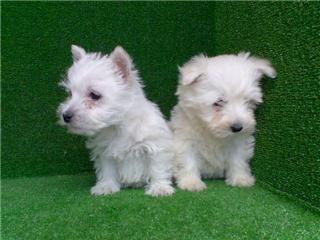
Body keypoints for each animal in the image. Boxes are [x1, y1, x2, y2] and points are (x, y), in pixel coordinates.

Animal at [56, 45, 174, 197]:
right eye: (70, 93)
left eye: (94, 95)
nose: (66, 115)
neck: (118, 126)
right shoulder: (105, 152)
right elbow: (108, 170)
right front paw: (106, 186)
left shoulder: (155, 146)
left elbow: (157, 168)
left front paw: (160, 187)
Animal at [170, 52, 276, 191]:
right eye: (218, 102)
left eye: (248, 101)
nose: (238, 127)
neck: (212, 133)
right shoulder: (185, 140)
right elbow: (187, 160)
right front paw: (191, 182)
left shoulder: (239, 142)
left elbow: (238, 160)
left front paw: (240, 178)